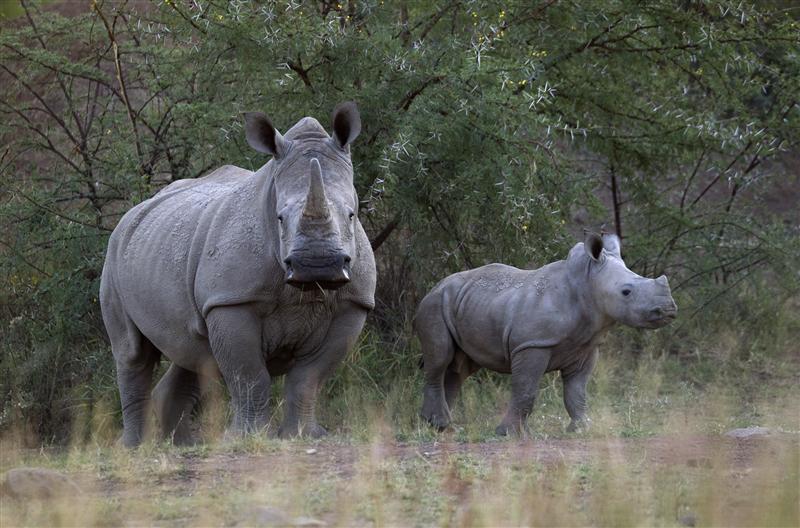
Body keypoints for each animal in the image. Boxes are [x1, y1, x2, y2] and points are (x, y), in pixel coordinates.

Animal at [100, 102, 376, 447]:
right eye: (280, 218)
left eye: (351, 215)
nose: (317, 265)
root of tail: (133, 212)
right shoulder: (231, 301)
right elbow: (249, 375)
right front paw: (246, 437)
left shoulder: (353, 305)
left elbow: (308, 378)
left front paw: (303, 435)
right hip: (114, 253)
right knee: (133, 352)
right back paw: (135, 447)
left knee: (193, 350)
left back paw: (183, 445)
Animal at [415, 233, 677, 436]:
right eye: (626, 292)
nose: (669, 309)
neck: (586, 282)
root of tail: (435, 286)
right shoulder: (532, 344)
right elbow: (526, 390)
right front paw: (509, 434)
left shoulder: (585, 347)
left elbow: (576, 392)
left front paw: (581, 429)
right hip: (434, 305)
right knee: (440, 358)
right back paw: (441, 424)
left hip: (463, 303)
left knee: (459, 367)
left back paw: (443, 427)